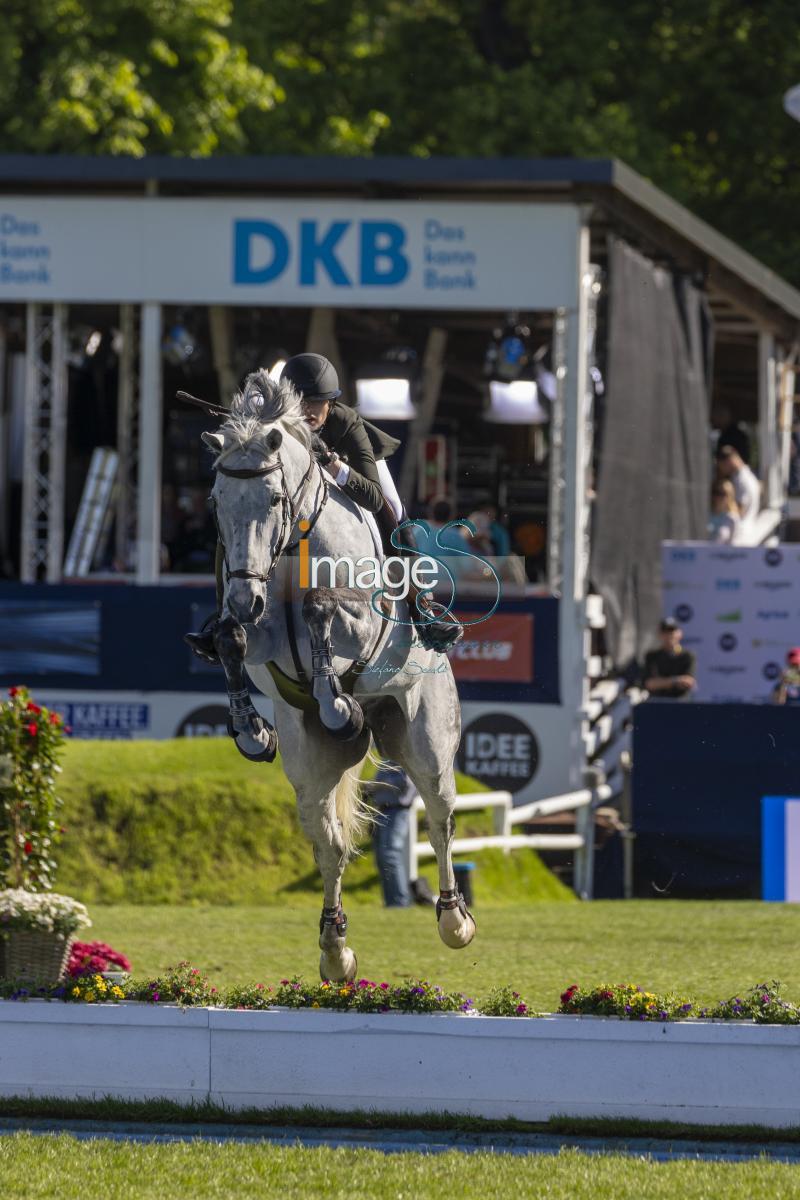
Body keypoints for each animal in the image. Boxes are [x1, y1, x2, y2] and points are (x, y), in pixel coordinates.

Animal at [203, 369, 474, 979]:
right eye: (217, 501)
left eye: (273, 497)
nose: (245, 598)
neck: (293, 542)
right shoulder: (259, 640)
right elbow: (231, 640)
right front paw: (251, 731)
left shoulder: (363, 620)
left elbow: (321, 606)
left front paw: (332, 699)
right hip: (311, 766)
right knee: (328, 844)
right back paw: (335, 949)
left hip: (426, 739)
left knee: (440, 817)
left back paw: (454, 920)